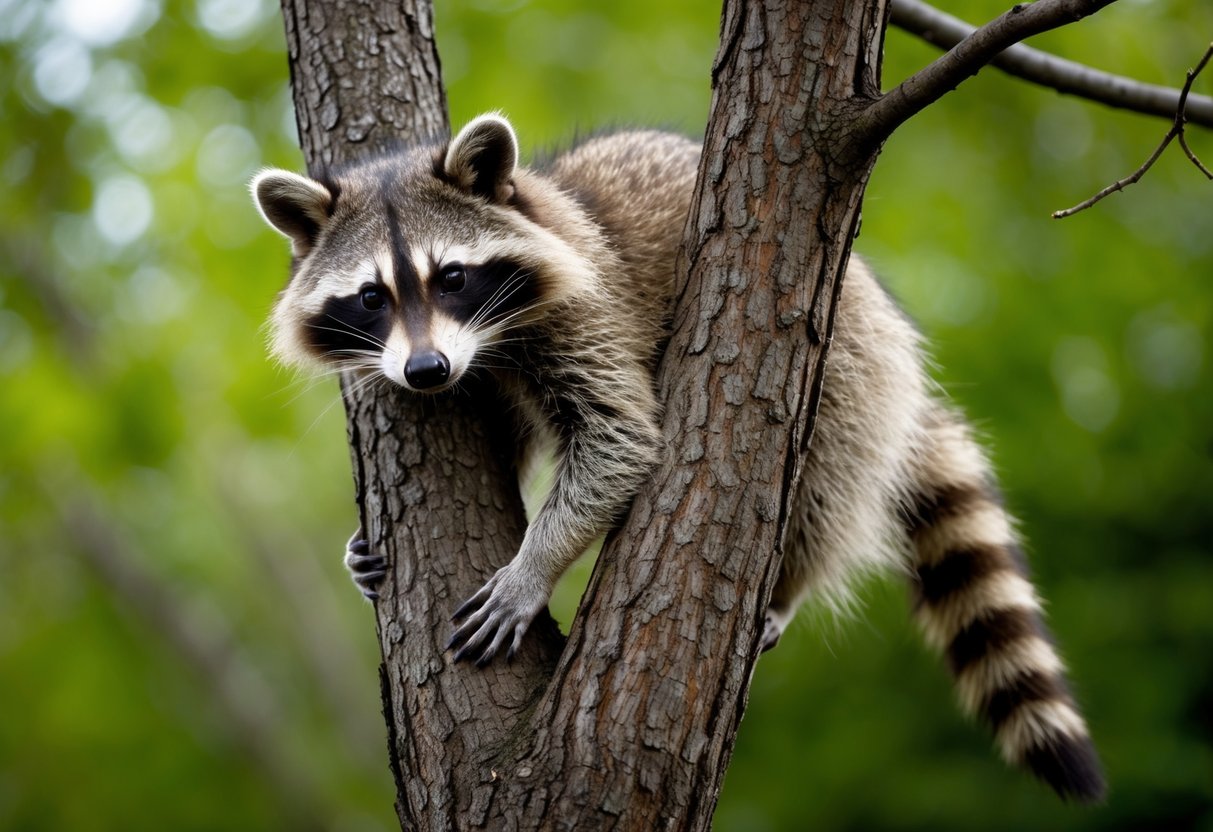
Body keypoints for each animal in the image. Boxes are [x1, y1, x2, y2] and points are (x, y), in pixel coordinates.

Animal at [252, 113, 1104, 802]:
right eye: (371, 296)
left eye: (451, 277)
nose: (425, 372)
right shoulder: (483, 365)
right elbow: (516, 437)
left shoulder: (586, 310)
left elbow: (619, 441)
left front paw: (534, 563)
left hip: (848, 366)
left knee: (824, 486)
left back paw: (790, 581)